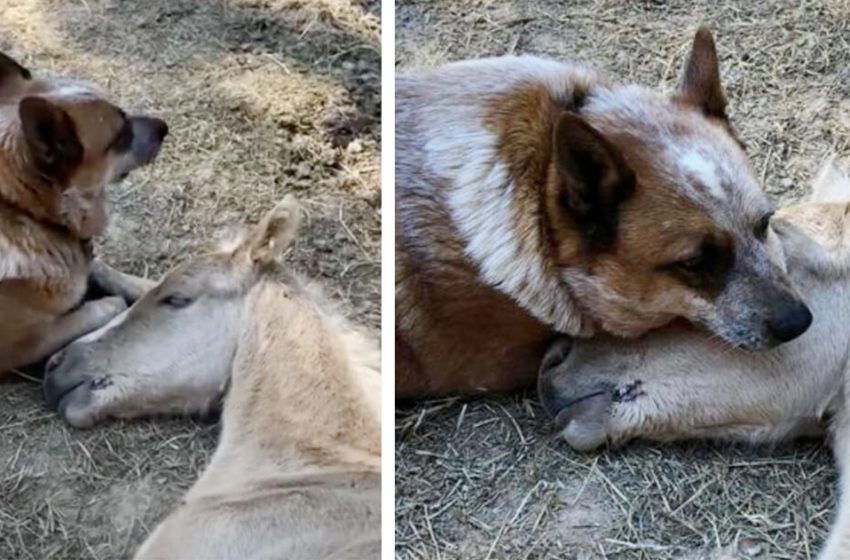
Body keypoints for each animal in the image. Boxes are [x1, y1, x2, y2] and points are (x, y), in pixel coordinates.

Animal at [0, 51, 169, 376]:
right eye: (120, 135)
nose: (165, 126)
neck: (24, 210)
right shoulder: (22, 344)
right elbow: (106, 305)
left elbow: (103, 268)